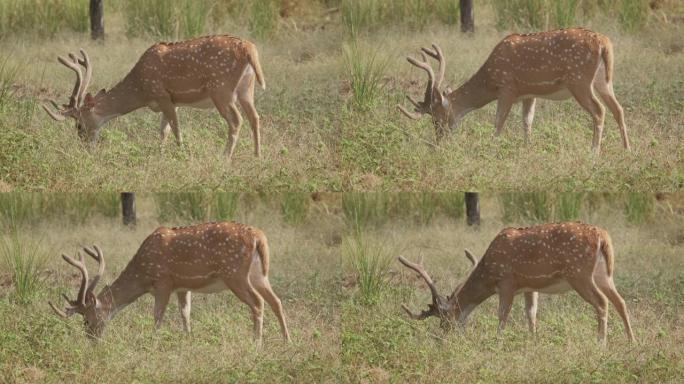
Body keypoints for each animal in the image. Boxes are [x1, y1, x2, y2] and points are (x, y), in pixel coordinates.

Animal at [42, 33, 266, 158]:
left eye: (79, 125)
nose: (85, 146)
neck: (141, 89)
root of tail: (249, 48)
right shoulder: (170, 101)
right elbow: (163, 131)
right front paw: (161, 155)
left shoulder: (162, 95)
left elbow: (175, 129)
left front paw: (181, 155)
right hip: (247, 89)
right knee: (255, 117)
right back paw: (257, 155)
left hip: (221, 89)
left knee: (236, 120)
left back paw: (225, 157)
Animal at [47, 220, 288, 344]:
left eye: (87, 320)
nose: (91, 341)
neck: (143, 275)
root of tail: (259, 237)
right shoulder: (183, 286)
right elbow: (185, 314)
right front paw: (188, 340)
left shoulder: (163, 282)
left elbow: (157, 316)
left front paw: (153, 343)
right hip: (259, 274)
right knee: (276, 301)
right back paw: (287, 340)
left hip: (234, 273)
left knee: (258, 303)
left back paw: (256, 342)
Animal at [400, 28, 632, 154]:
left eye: (436, 119)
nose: (437, 142)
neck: (490, 80)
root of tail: (604, 43)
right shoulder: (529, 94)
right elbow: (527, 122)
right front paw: (528, 149)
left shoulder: (507, 88)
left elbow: (498, 122)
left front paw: (492, 150)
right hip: (604, 81)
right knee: (618, 109)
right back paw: (627, 149)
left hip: (579, 80)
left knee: (599, 110)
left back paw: (594, 152)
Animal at [400, 222, 636, 344]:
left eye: (444, 321)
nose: (443, 339)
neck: (488, 272)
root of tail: (603, 236)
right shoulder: (530, 286)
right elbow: (531, 314)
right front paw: (533, 341)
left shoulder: (507, 282)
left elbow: (502, 314)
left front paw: (497, 342)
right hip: (603, 275)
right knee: (621, 301)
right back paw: (631, 340)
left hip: (579, 274)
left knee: (602, 302)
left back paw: (601, 343)